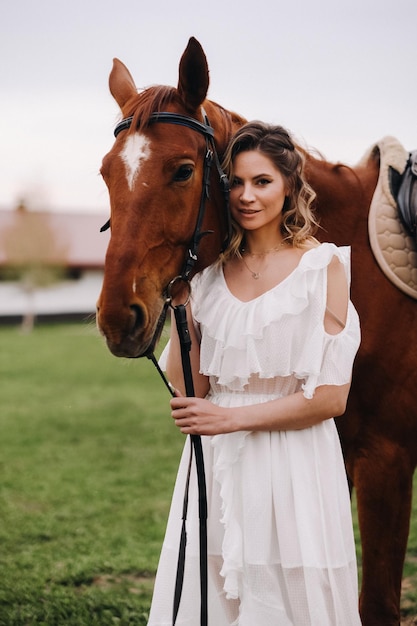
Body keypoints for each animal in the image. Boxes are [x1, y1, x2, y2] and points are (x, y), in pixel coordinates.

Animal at [97, 36, 416, 620]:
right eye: (106, 172)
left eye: (182, 170)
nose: (117, 317)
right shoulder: (342, 454)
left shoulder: (388, 460)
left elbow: (376, 605)